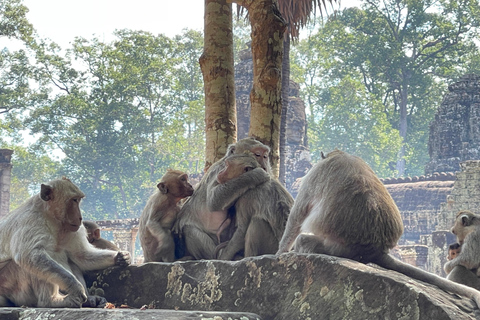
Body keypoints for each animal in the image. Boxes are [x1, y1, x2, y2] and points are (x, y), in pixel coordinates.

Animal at [0, 178, 130, 308]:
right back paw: (51, 301)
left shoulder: (75, 229)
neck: (51, 218)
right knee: (32, 262)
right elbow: (29, 255)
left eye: (78, 200)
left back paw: (88, 299)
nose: (80, 217)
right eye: (74, 200)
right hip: (11, 284)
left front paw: (119, 257)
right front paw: (76, 288)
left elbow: (81, 255)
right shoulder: (30, 220)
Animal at [276, 151, 480, 308]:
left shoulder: (315, 173)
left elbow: (298, 213)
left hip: (338, 249)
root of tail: (374, 249)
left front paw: (280, 252)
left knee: (304, 240)